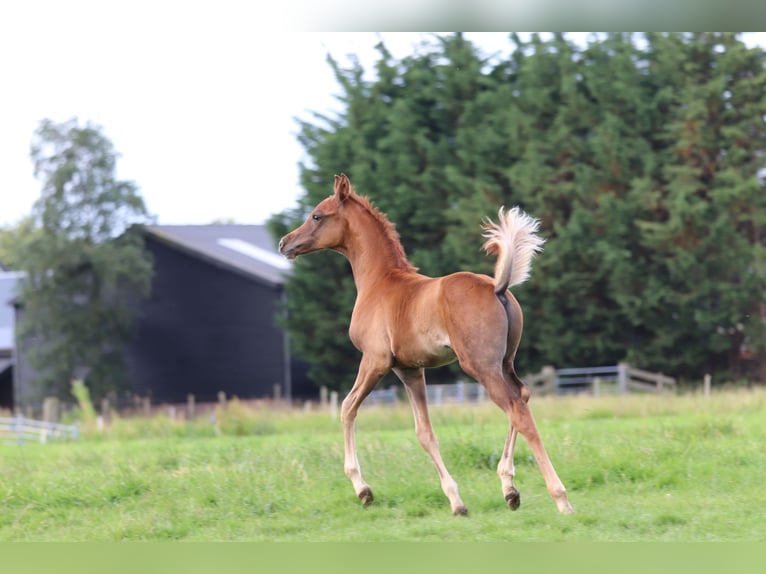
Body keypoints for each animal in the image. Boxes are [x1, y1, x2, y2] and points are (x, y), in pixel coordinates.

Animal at [280, 176, 572, 516]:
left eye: (316, 215)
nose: (285, 243)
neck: (380, 282)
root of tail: (497, 287)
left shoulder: (375, 360)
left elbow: (347, 408)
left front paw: (363, 490)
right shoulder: (410, 370)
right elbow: (425, 433)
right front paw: (457, 502)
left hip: (481, 366)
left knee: (517, 411)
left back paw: (560, 498)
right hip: (505, 363)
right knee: (522, 397)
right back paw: (509, 489)